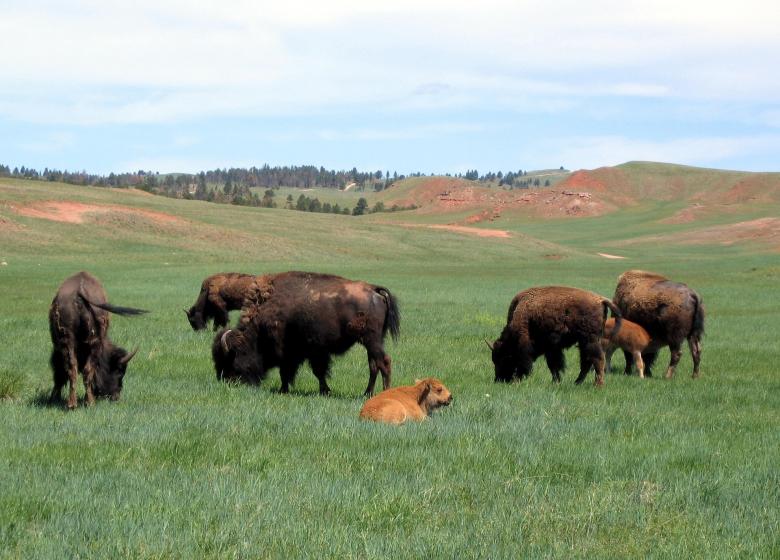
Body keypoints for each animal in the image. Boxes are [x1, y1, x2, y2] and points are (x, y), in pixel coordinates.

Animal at [49, 271, 146, 409]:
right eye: (119, 371)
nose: (116, 397)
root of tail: (79, 291)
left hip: (69, 342)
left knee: (73, 370)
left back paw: (74, 404)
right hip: (91, 343)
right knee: (84, 370)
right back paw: (88, 403)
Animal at [212, 271, 400, 396]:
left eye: (231, 358)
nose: (227, 381)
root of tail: (374, 290)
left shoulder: (294, 353)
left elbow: (292, 371)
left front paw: (284, 390)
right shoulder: (313, 353)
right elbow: (317, 372)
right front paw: (324, 391)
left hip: (372, 340)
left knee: (384, 362)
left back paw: (384, 394)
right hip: (373, 342)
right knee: (374, 366)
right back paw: (367, 393)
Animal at [489, 286, 622, 386]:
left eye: (504, 357)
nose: (499, 379)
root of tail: (601, 300)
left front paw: (517, 380)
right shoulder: (552, 348)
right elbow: (554, 365)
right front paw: (556, 382)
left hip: (590, 340)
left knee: (597, 359)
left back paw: (597, 385)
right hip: (585, 342)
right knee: (587, 362)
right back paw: (577, 383)